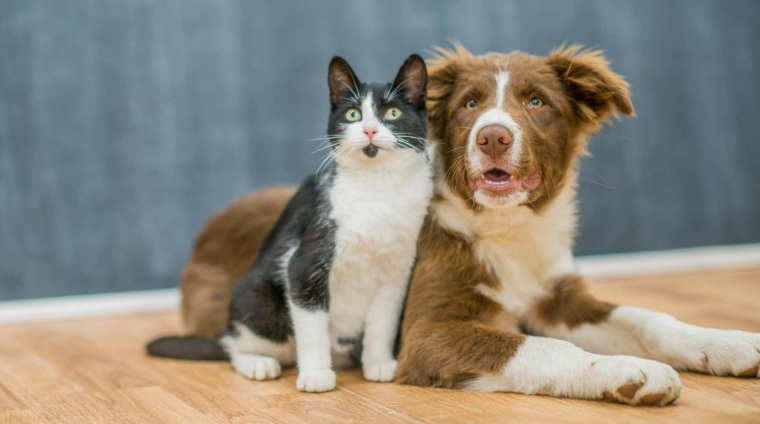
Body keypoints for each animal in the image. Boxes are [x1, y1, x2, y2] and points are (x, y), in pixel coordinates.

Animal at [148, 54, 434, 392]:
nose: (369, 131)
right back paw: (257, 362)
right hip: (261, 303)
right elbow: (311, 326)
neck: (378, 188)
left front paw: (378, 363)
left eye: (392, 113)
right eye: (353, 114)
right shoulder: (304, 262)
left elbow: (383, 322)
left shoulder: (396, 274)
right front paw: (315, 374)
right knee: (236, 345)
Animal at [177, 44, 760, 406]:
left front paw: (730, 344)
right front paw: (622, 371)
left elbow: (647, 317)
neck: (504, 230)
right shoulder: (428, 331)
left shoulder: (556, 297)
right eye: (470, 104)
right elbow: (540, 348)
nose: (493, 136)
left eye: (536, 101)